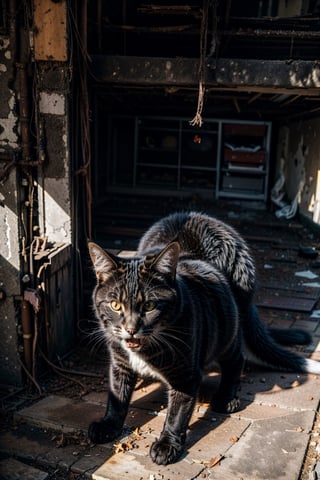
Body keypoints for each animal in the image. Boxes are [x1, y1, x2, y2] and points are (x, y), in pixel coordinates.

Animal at [87, 211, 320, 464]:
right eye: (115, 305)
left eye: (149, 306)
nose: (130, 328)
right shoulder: (119, 361)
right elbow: (117, 395)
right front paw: (108, 425)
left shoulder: (186, 373)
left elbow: (178, 412)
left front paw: (167, 445)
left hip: (229, 327)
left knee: (235, 359)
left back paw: (227, 397)